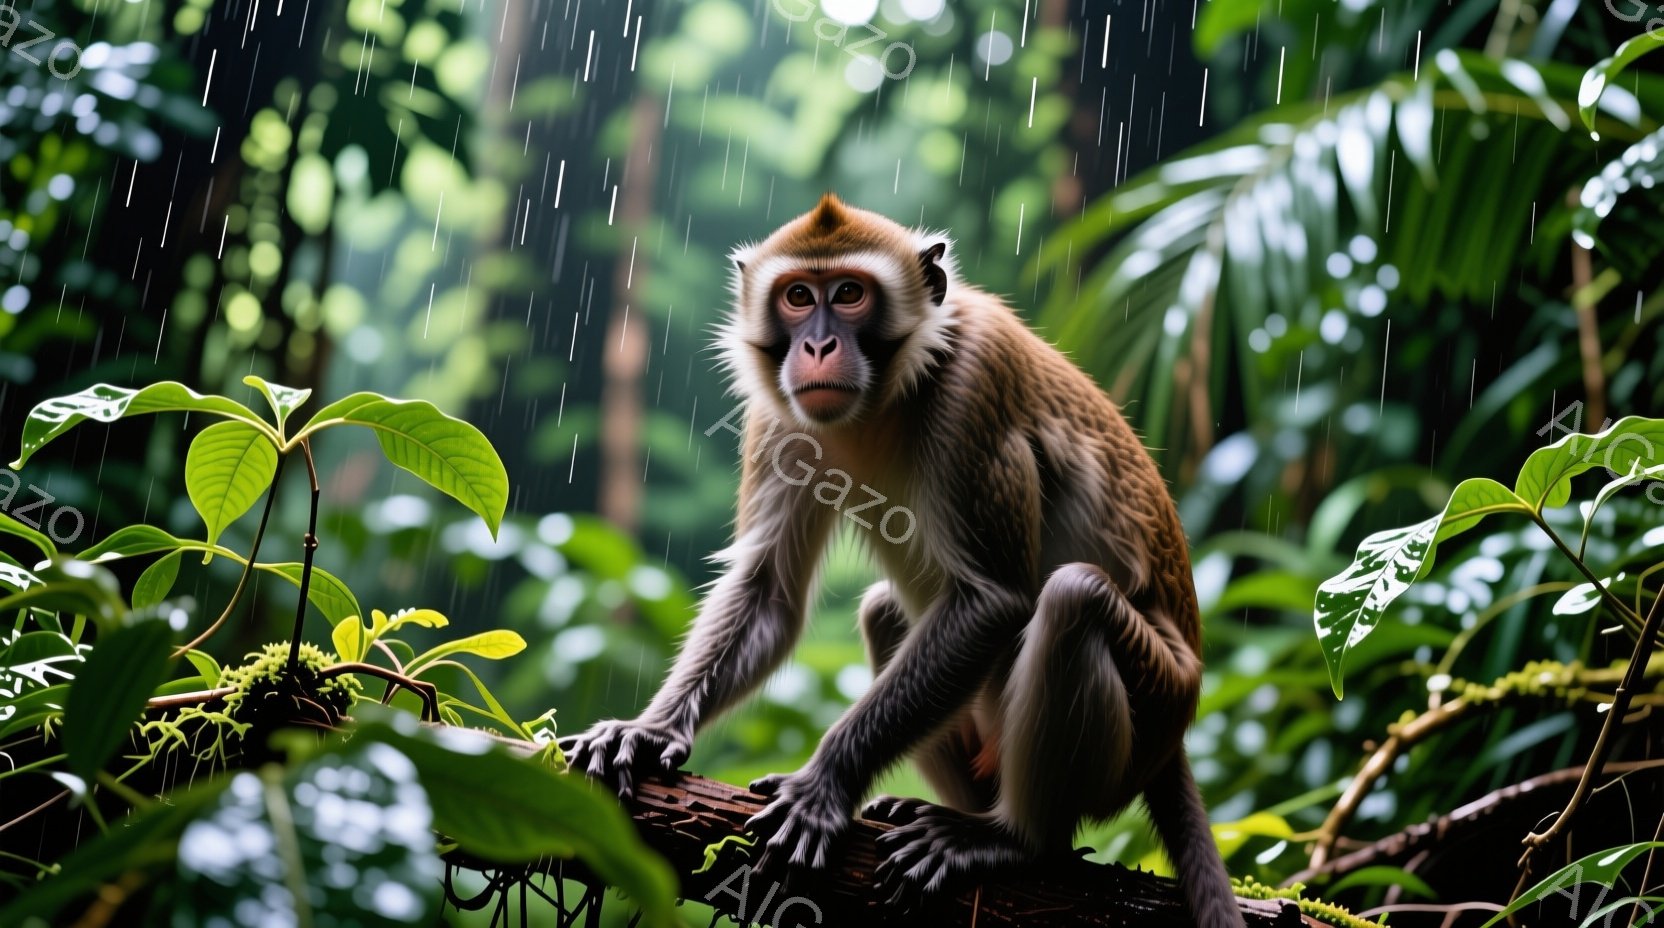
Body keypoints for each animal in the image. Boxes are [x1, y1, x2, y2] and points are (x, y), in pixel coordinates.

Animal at [563, 194, 1244, 926]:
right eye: (798, 296)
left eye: (850, 294)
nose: (818, 345)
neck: (888, 393)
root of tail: (1177, 734)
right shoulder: (780, 417)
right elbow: (769, 590)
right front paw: (649, 730)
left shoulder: (975, 384)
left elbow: (991, 600)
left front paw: (824, 785)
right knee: (886, 612)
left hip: (1153, 707)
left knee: (1076, 598)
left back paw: (1015, 839)